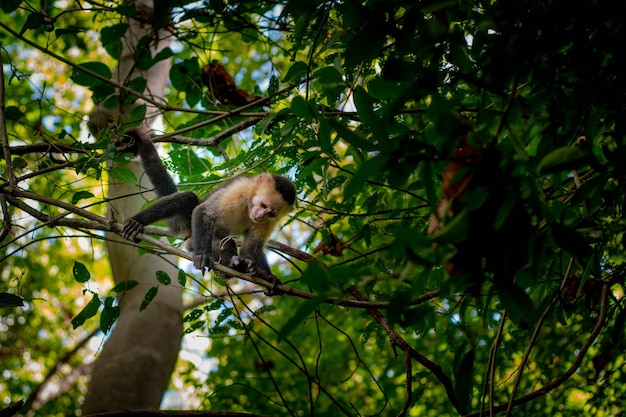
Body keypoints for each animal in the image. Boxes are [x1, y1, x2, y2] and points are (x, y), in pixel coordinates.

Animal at [122, 127, 298, 290]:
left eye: (271, 213)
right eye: (263, 205)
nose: (261, 216)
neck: (249, 202)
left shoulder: (270, 221)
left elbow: (252, 246)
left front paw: (268, 277)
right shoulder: (240, 189)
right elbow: (204, 212)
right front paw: (202, 255)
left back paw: (240, 266)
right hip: (193, 235)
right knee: (188, 200)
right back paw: (136, 222)